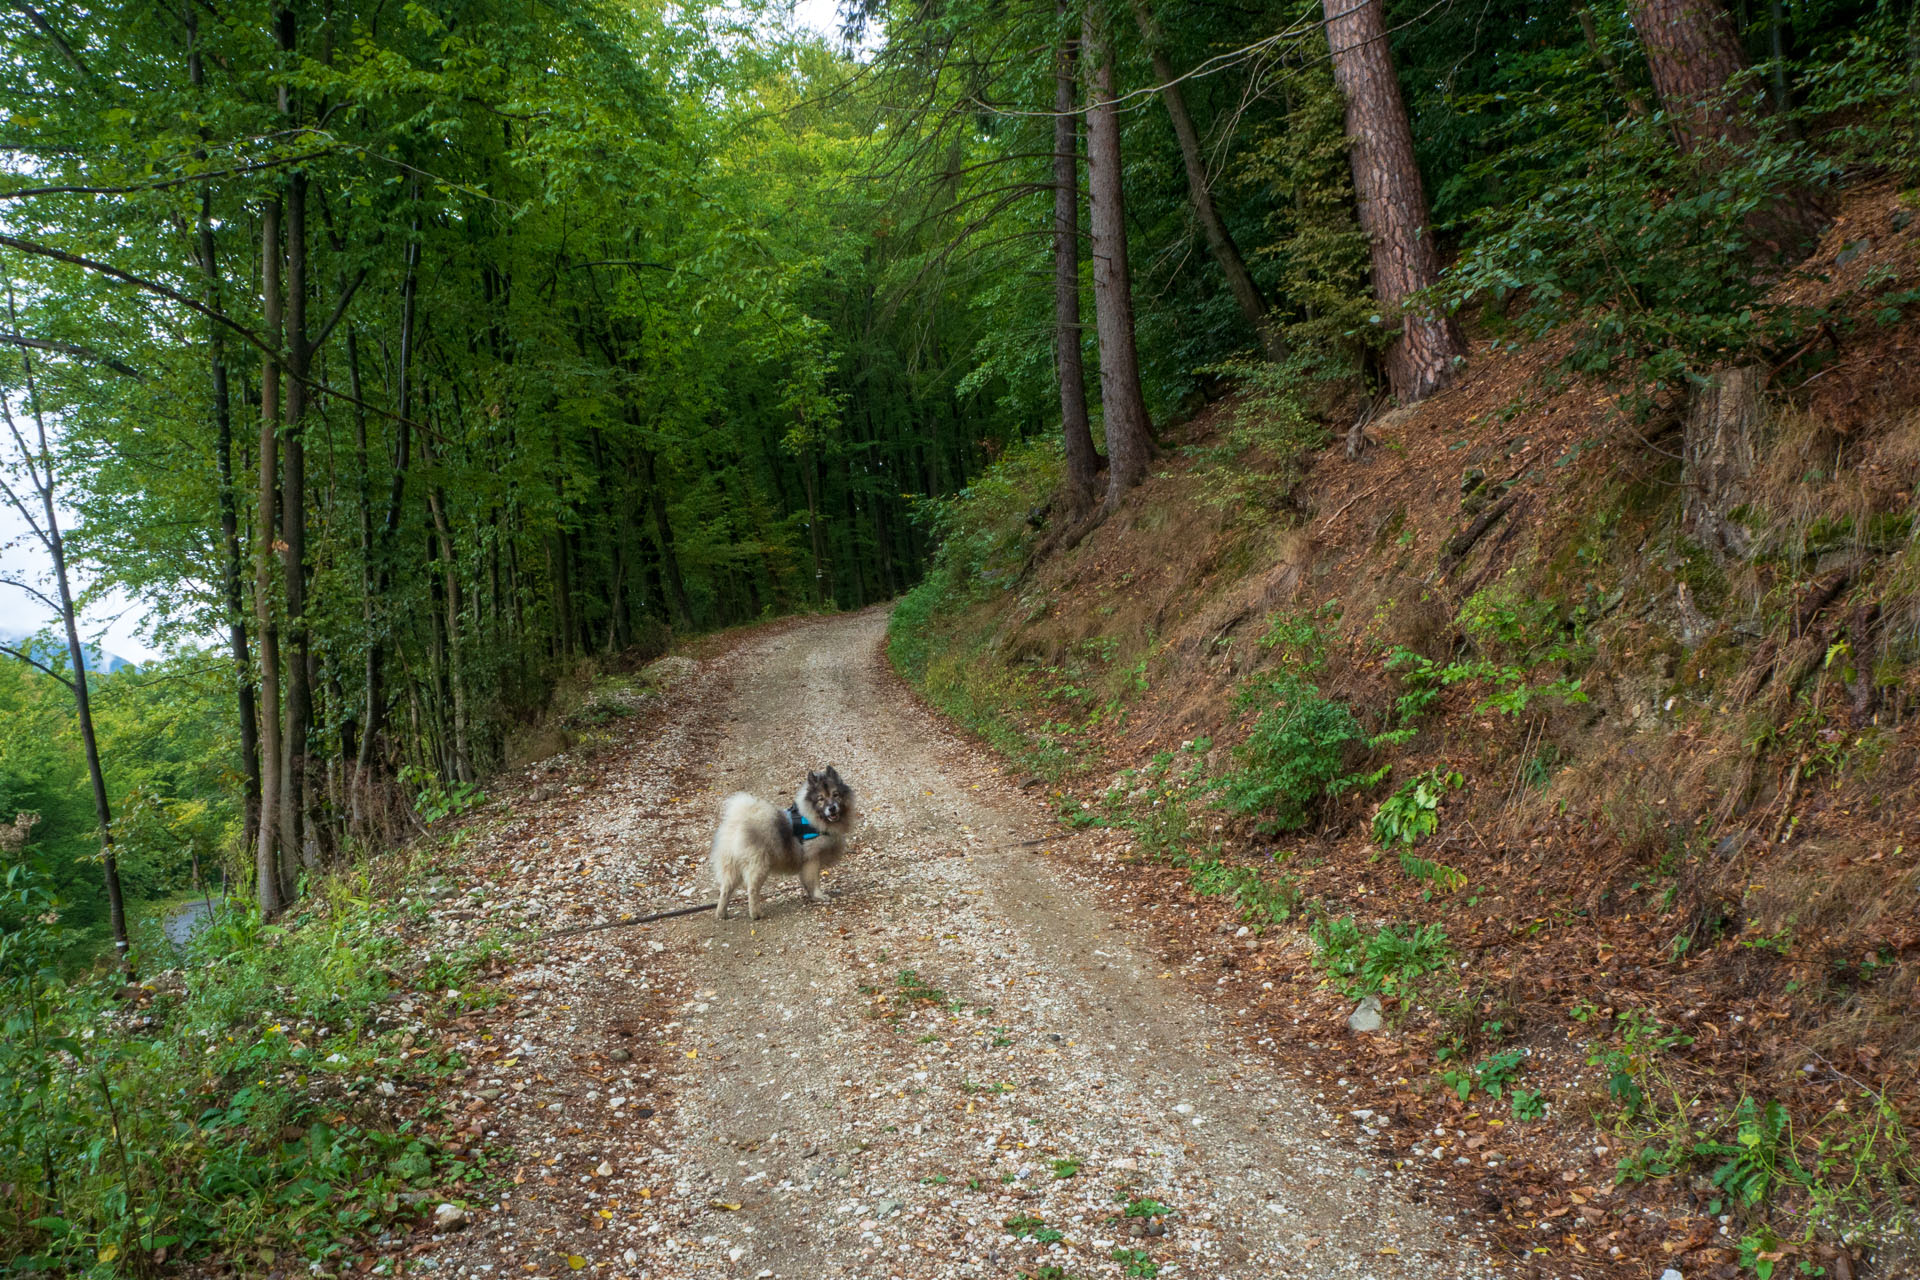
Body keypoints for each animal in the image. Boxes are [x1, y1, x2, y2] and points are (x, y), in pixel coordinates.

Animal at [710, 771, 860, 921]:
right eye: (820, 799)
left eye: (836, 795)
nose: (832, 808)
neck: (813, 818)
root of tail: (737, 824)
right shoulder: (812, 858)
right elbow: (814, 880)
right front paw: (819, 896)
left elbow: (807, 881)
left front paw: (811, 895)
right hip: (759, 865)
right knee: (752, 889)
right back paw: (756, 914)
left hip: (732, 867)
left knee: (725, 889)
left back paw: (722, 914)